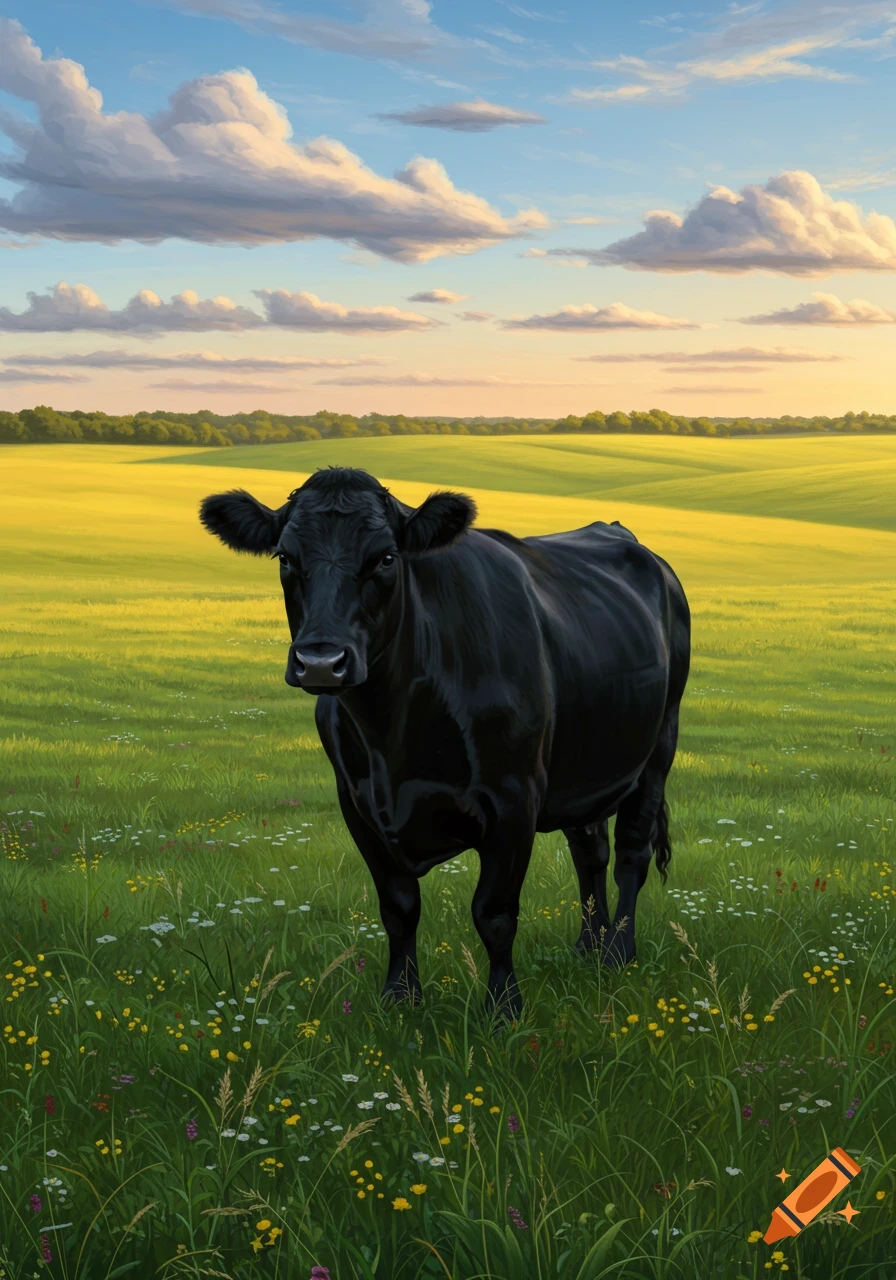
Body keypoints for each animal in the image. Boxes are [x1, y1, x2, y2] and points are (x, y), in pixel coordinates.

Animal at [200, 466, 690, 1019]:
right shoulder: (356, 802)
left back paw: (619, 951)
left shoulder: (514, 796)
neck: (393, 736)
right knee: (590, 850)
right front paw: (399, 998)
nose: (321, 662)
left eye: (386, 557)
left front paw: (503, 1009)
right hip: (587, 760)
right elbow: (398, 906)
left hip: (659, 747)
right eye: (285, 557)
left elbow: (494, 912)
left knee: (631, 854)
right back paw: (590, 946)